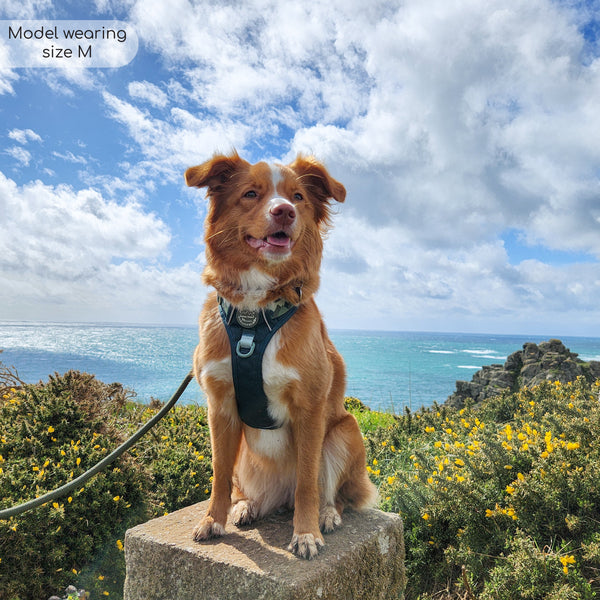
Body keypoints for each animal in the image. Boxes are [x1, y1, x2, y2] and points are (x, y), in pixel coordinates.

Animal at [185, 152, 378, 560]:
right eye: (250, 193)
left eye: (298, 197)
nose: (284, 212)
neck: (253, 317)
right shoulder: (219, 405)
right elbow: (218, 473)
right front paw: (213, 520)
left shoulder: (310, 408)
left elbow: (308, 481)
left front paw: (305, 533)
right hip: (246, 454)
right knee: (246, 488)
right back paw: (247, 506)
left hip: (346, 430)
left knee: (329, 492)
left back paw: (327, 514)